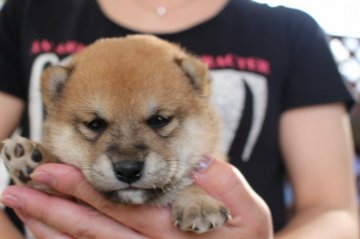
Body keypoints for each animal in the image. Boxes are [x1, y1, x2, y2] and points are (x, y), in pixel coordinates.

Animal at [1, 34, 229, 232]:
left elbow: (189, 180)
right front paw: (32, 161)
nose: (128, 170)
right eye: (95, 124)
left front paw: (199, 203)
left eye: (159, 120)